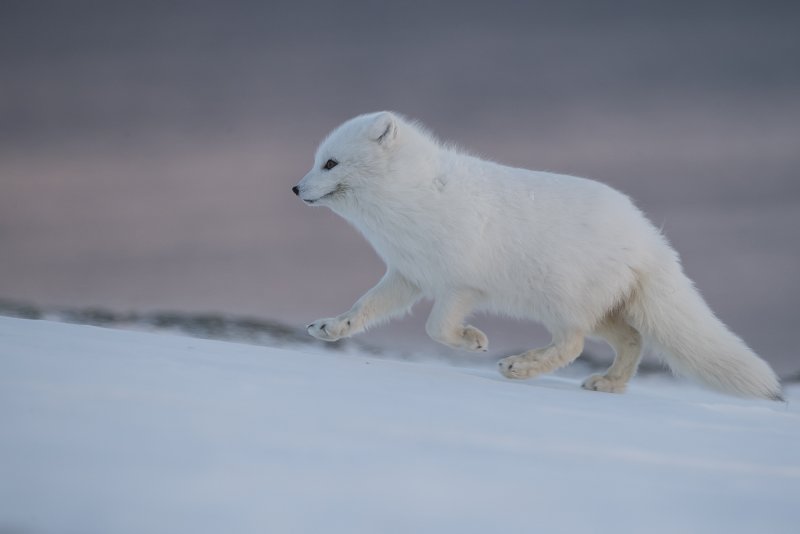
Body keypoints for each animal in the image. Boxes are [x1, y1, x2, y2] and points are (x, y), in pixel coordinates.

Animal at [292, 111, 780, 400]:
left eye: (330, 164)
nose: (295, 189)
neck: (415, 197)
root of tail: (648, 237)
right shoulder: (408, 275)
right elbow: (364, 307)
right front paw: (331, 327)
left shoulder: (460, 285)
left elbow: (436, 328)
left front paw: (474, 340)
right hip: (597, 309)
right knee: (630, 341)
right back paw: (607, 384)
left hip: (562, 301)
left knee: (574, 343)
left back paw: (520, 367)